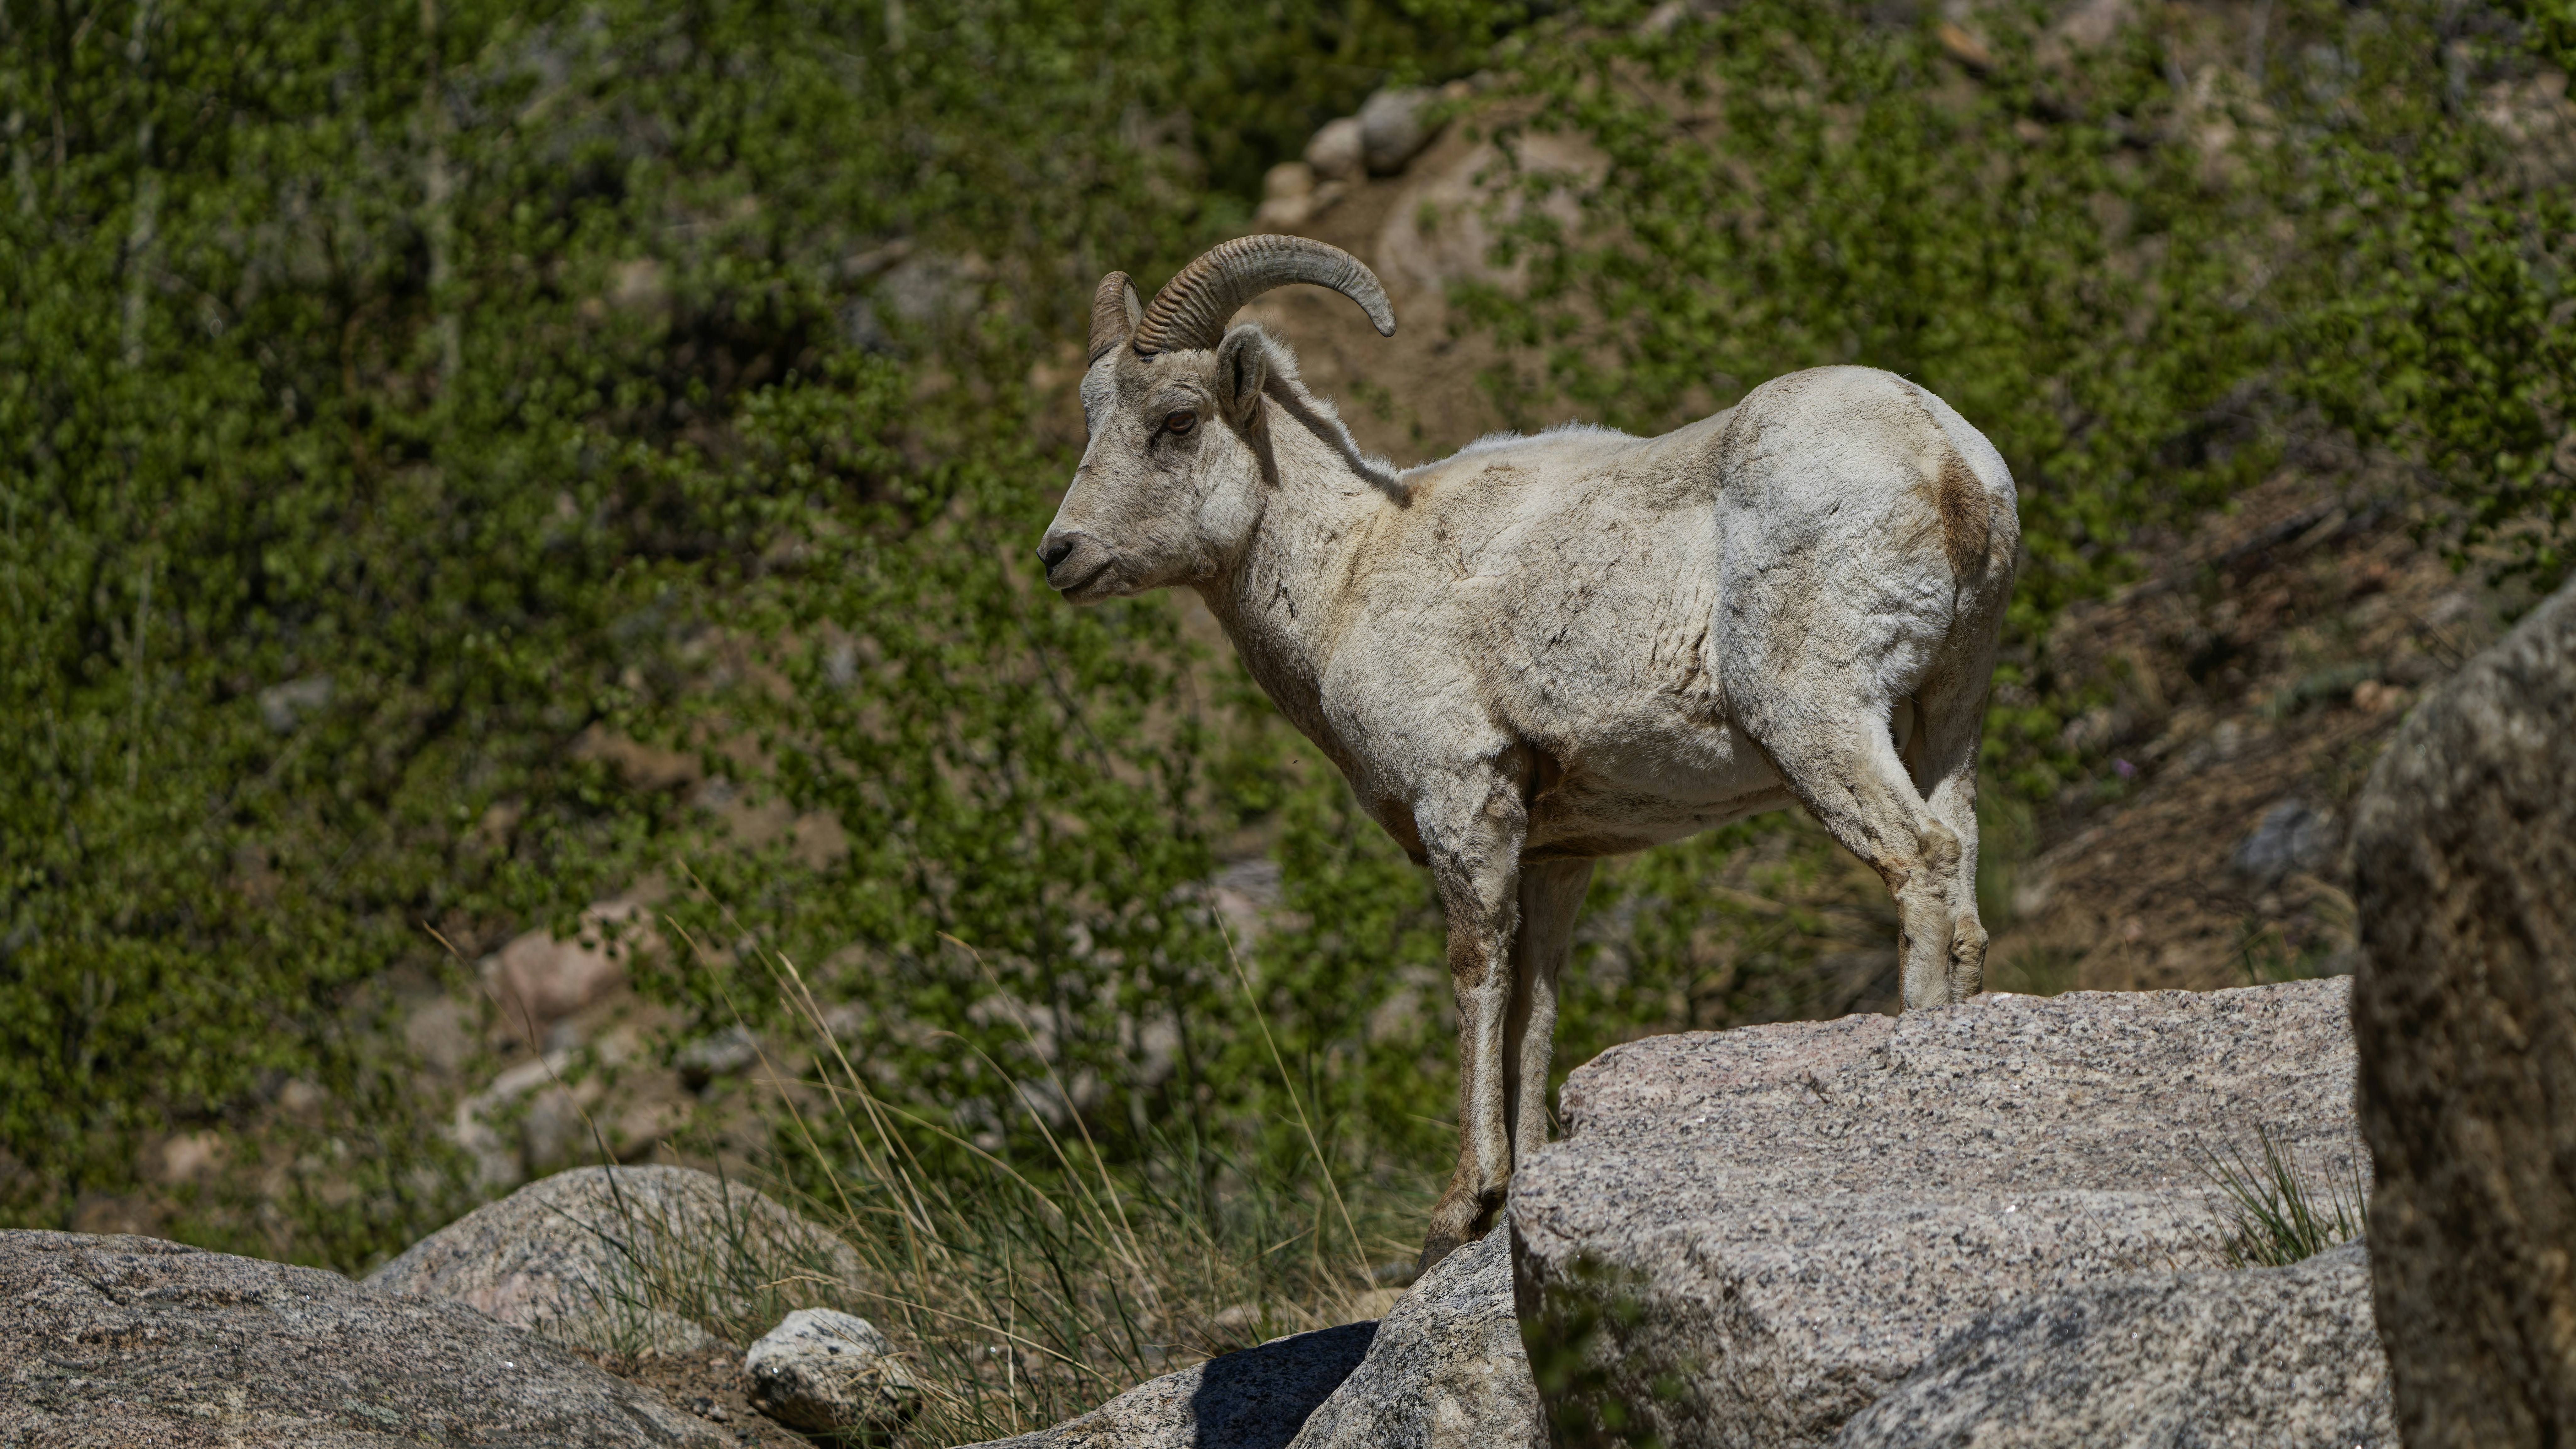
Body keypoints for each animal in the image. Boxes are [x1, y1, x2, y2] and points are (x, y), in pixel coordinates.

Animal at [1040, 236, 2019, 1271]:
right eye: (1092, 417)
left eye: (1177, 421)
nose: (1059, 555)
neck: (1351, 569)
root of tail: (1948, 465)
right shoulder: (1559, 853)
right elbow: (1534, 1009)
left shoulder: (1462, 802)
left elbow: (1478, 972)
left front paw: (1462, 1209)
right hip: (1949, 714)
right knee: (1961, 883)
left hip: (1816, 717)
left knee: (1920, 857)